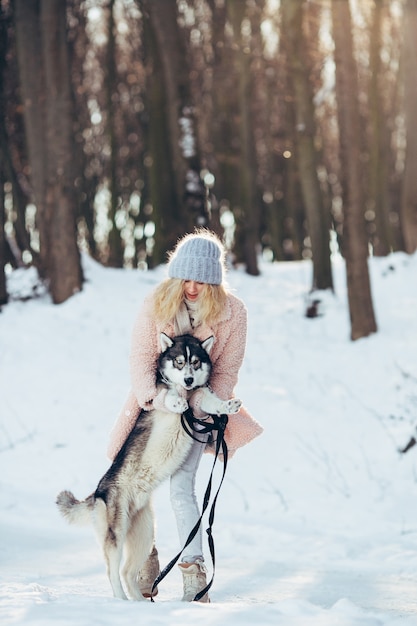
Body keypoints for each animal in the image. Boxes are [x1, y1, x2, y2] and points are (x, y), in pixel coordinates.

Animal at [57, 332, 242, 600]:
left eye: (195, 362)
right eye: (178, 362)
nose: (188, 379)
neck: (185, 391)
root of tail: (98, 493)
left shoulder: (200, 396)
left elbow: (208, 401)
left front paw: (226, 406)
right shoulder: (159, 393)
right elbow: (167, 394)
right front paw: (177, 402)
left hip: (144, 534)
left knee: (127, 572)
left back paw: (137, 603)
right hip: (116, 533)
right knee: (112, 572)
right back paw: (121, 601)